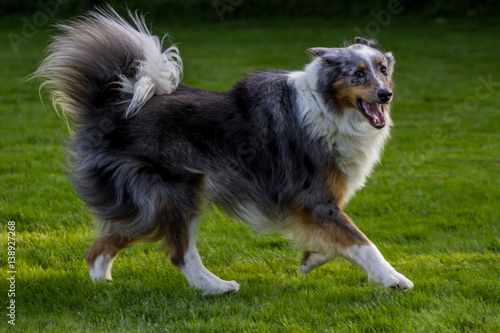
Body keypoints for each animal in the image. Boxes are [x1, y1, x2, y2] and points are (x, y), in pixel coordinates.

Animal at [36, 7, 414, 294]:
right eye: (358, 74)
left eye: (383, 69)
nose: (386, 95)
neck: (327, 107)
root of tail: (108, 107)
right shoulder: (314, 198)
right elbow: (362, 241)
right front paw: (393, 278)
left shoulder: (313, 206)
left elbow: (336, 239)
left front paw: (311, 258)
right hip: (177, 190)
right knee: (179, 253)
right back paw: (215, 287)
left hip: (146, 202)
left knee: (102, 244)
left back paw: (103, 284)